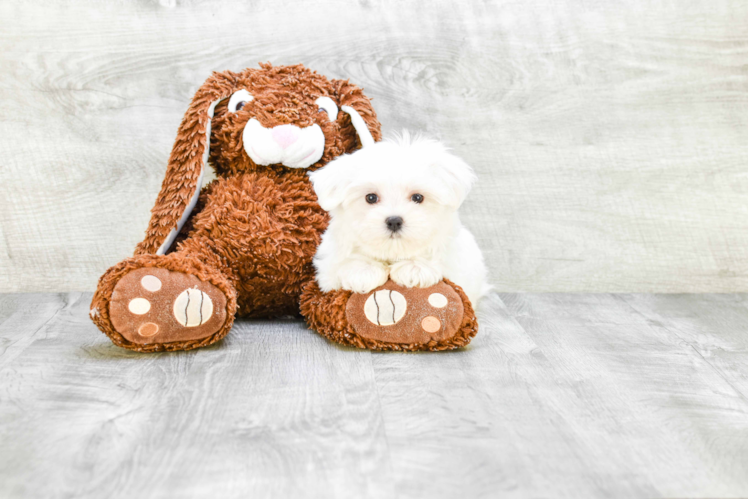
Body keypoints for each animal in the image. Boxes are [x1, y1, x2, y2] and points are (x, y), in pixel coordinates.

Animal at [306, 131, 488, 306]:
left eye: (417, 197)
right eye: (371, 197)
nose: (394, 221)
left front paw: (415, 267)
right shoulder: (328, 268)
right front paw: (363, 269)